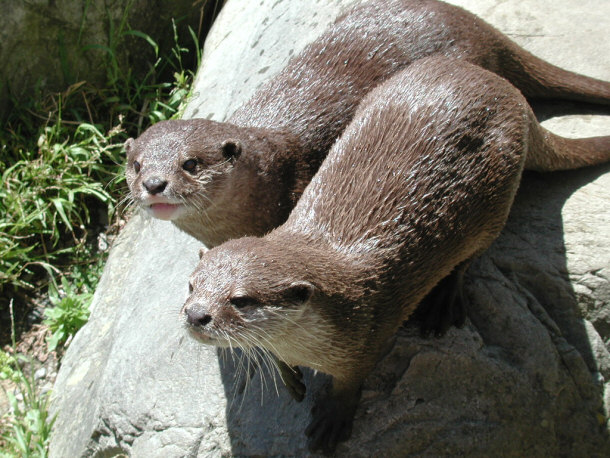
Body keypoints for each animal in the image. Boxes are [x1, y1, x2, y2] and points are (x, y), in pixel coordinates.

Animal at [180, 55, 608, 452]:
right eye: (191, 286)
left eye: (241, 300)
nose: (195, 314)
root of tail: (509, 91)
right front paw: (289, 377)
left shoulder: (368, 333)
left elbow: (352, 381)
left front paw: (333, 418)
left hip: (495, 198)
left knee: (471, 254)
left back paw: (443, 302)